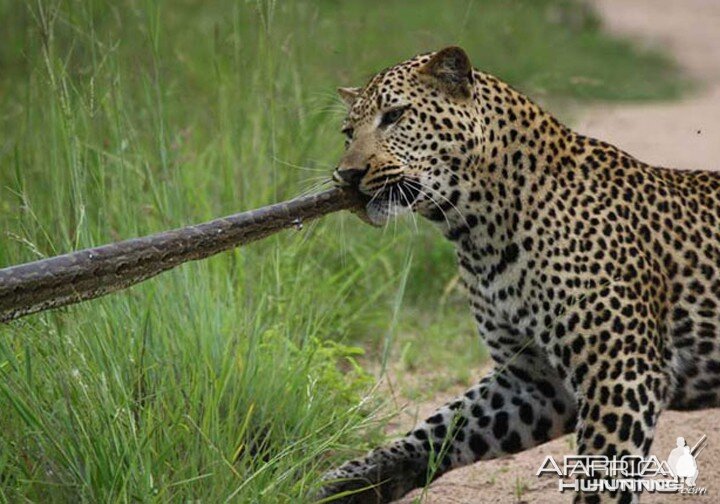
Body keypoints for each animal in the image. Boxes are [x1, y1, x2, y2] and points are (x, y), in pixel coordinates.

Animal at [318, 45, 720, 502]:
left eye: (395, 115)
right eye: (348, 133)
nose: (347, 174)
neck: (478, 231)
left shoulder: (620, 373)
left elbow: (602, 477)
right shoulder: (536, 382)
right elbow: (439, 430)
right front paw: (347, 482)